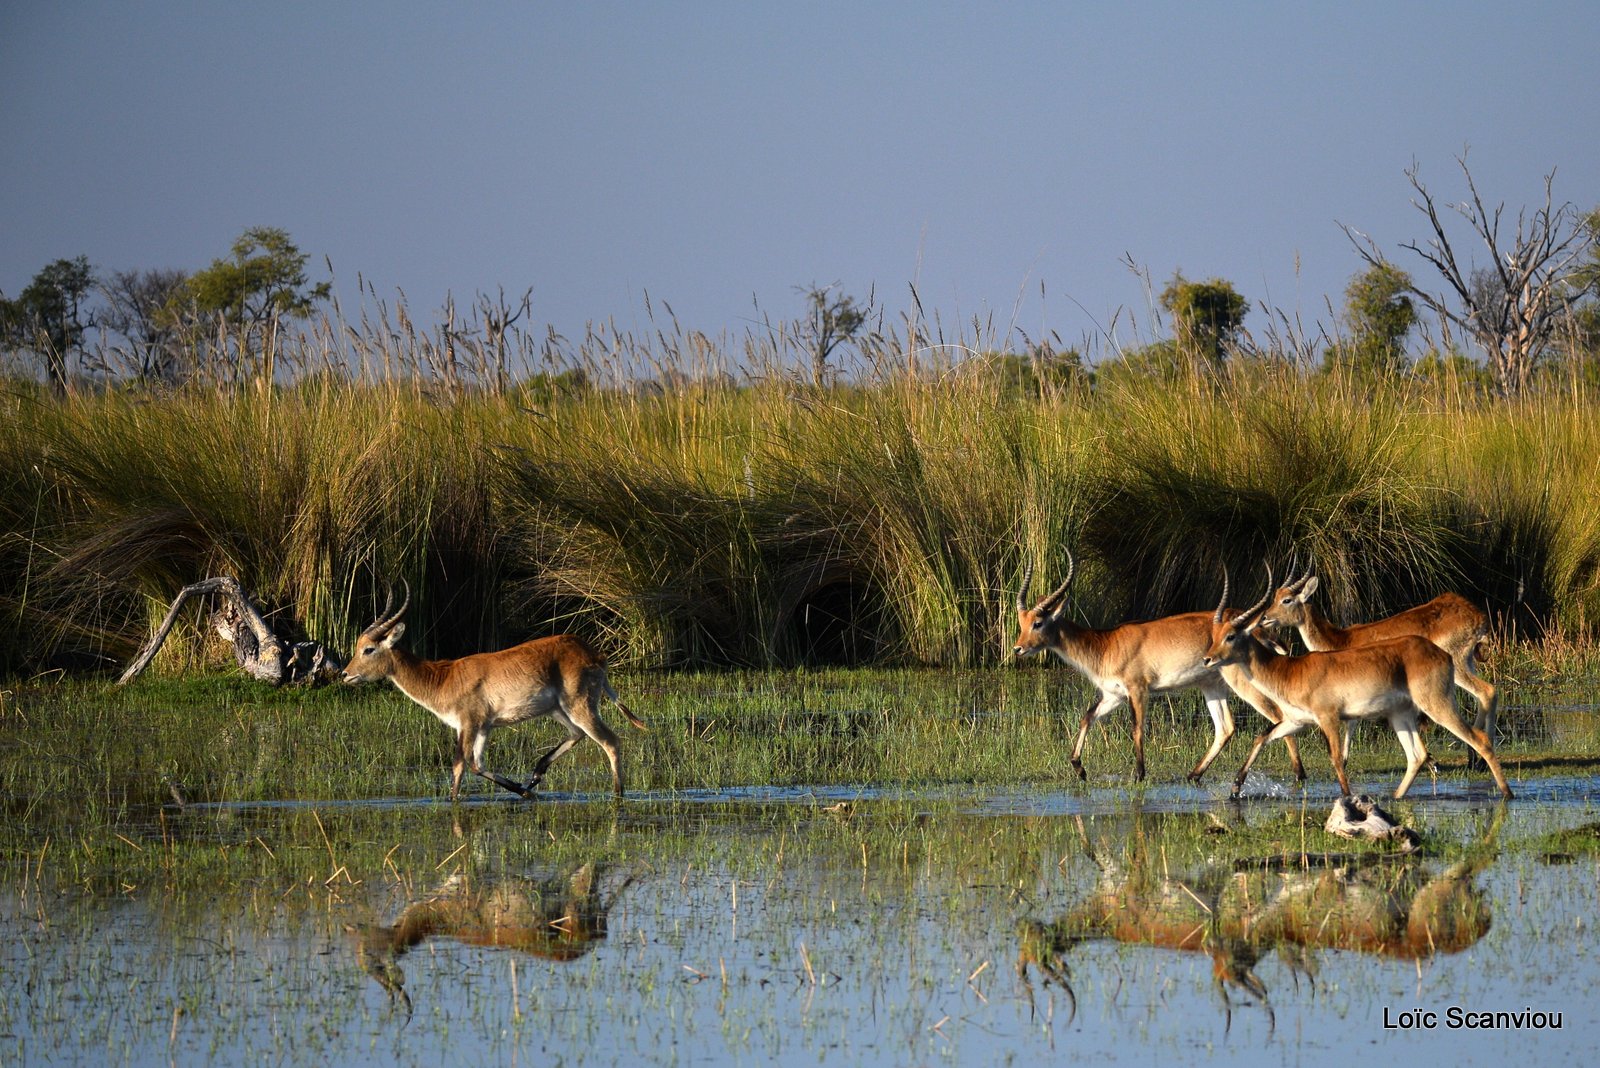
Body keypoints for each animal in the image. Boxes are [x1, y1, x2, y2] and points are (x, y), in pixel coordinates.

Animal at [344, 585, 649, 799]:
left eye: (368, 649)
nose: (345, 674)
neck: (443, 678)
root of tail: (594, 654)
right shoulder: (484, 727)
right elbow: (477, 764)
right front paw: (524, 791)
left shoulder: (468, 724)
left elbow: (459, 765)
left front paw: (452, 802)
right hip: (558, 710)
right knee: (577, 735)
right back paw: (534, 777)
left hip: (579, 706)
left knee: (611, 742)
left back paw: (618, 795)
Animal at [1011, 549, 1299, 783]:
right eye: (1021, 621)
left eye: (1038, 622)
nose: (1018, 648)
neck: (1106, 644)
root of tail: (1257, 627)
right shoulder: (1113, 695)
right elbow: (1087, 716)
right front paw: (1079, 768)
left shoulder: (1138, 689)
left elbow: (1137, 729)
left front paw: (1139, 775)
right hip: (1212, 686)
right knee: (1226, 727)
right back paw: (1193, 775)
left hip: (1244, 683)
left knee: (1277, 716)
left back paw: (1299, 775)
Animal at [1260, 565, 1497, 741]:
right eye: (1276, 596)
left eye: (1287, 599)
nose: (1264, 618)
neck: (1340, 639)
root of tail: (1478, 616)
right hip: (1468, 663)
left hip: (1457, 666)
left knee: (1486, 691)